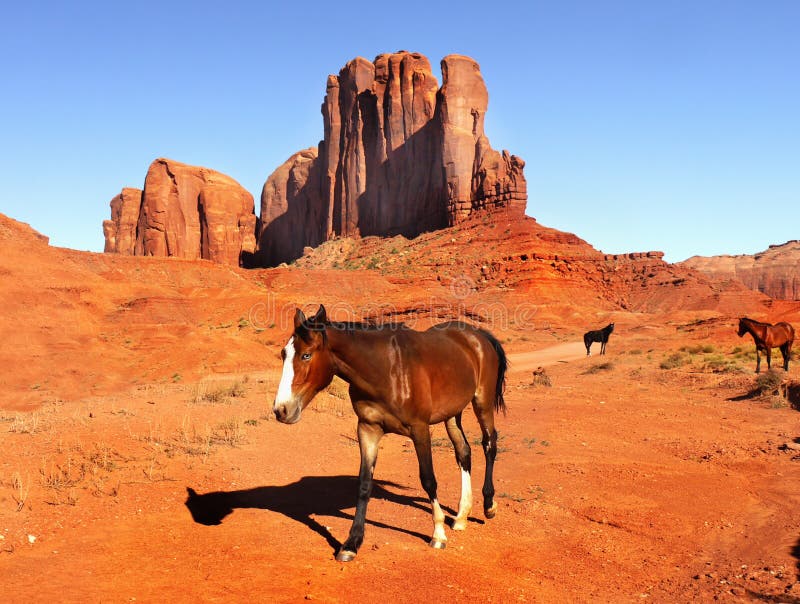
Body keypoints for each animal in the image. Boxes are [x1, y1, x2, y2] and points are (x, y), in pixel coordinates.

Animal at [268, 306, 506, 560]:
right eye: (284, 354)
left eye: (306, 355)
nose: (281, 409)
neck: (386, 371)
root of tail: (477, 335)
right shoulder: (368, 429)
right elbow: (364, 484)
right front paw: (351, 543)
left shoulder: (419, 429)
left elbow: (428, 479)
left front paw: (438, 534)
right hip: (453, 414)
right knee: (463, 452)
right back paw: (461, 516)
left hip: (482, 403)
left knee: (489, 444)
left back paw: (488, 505)